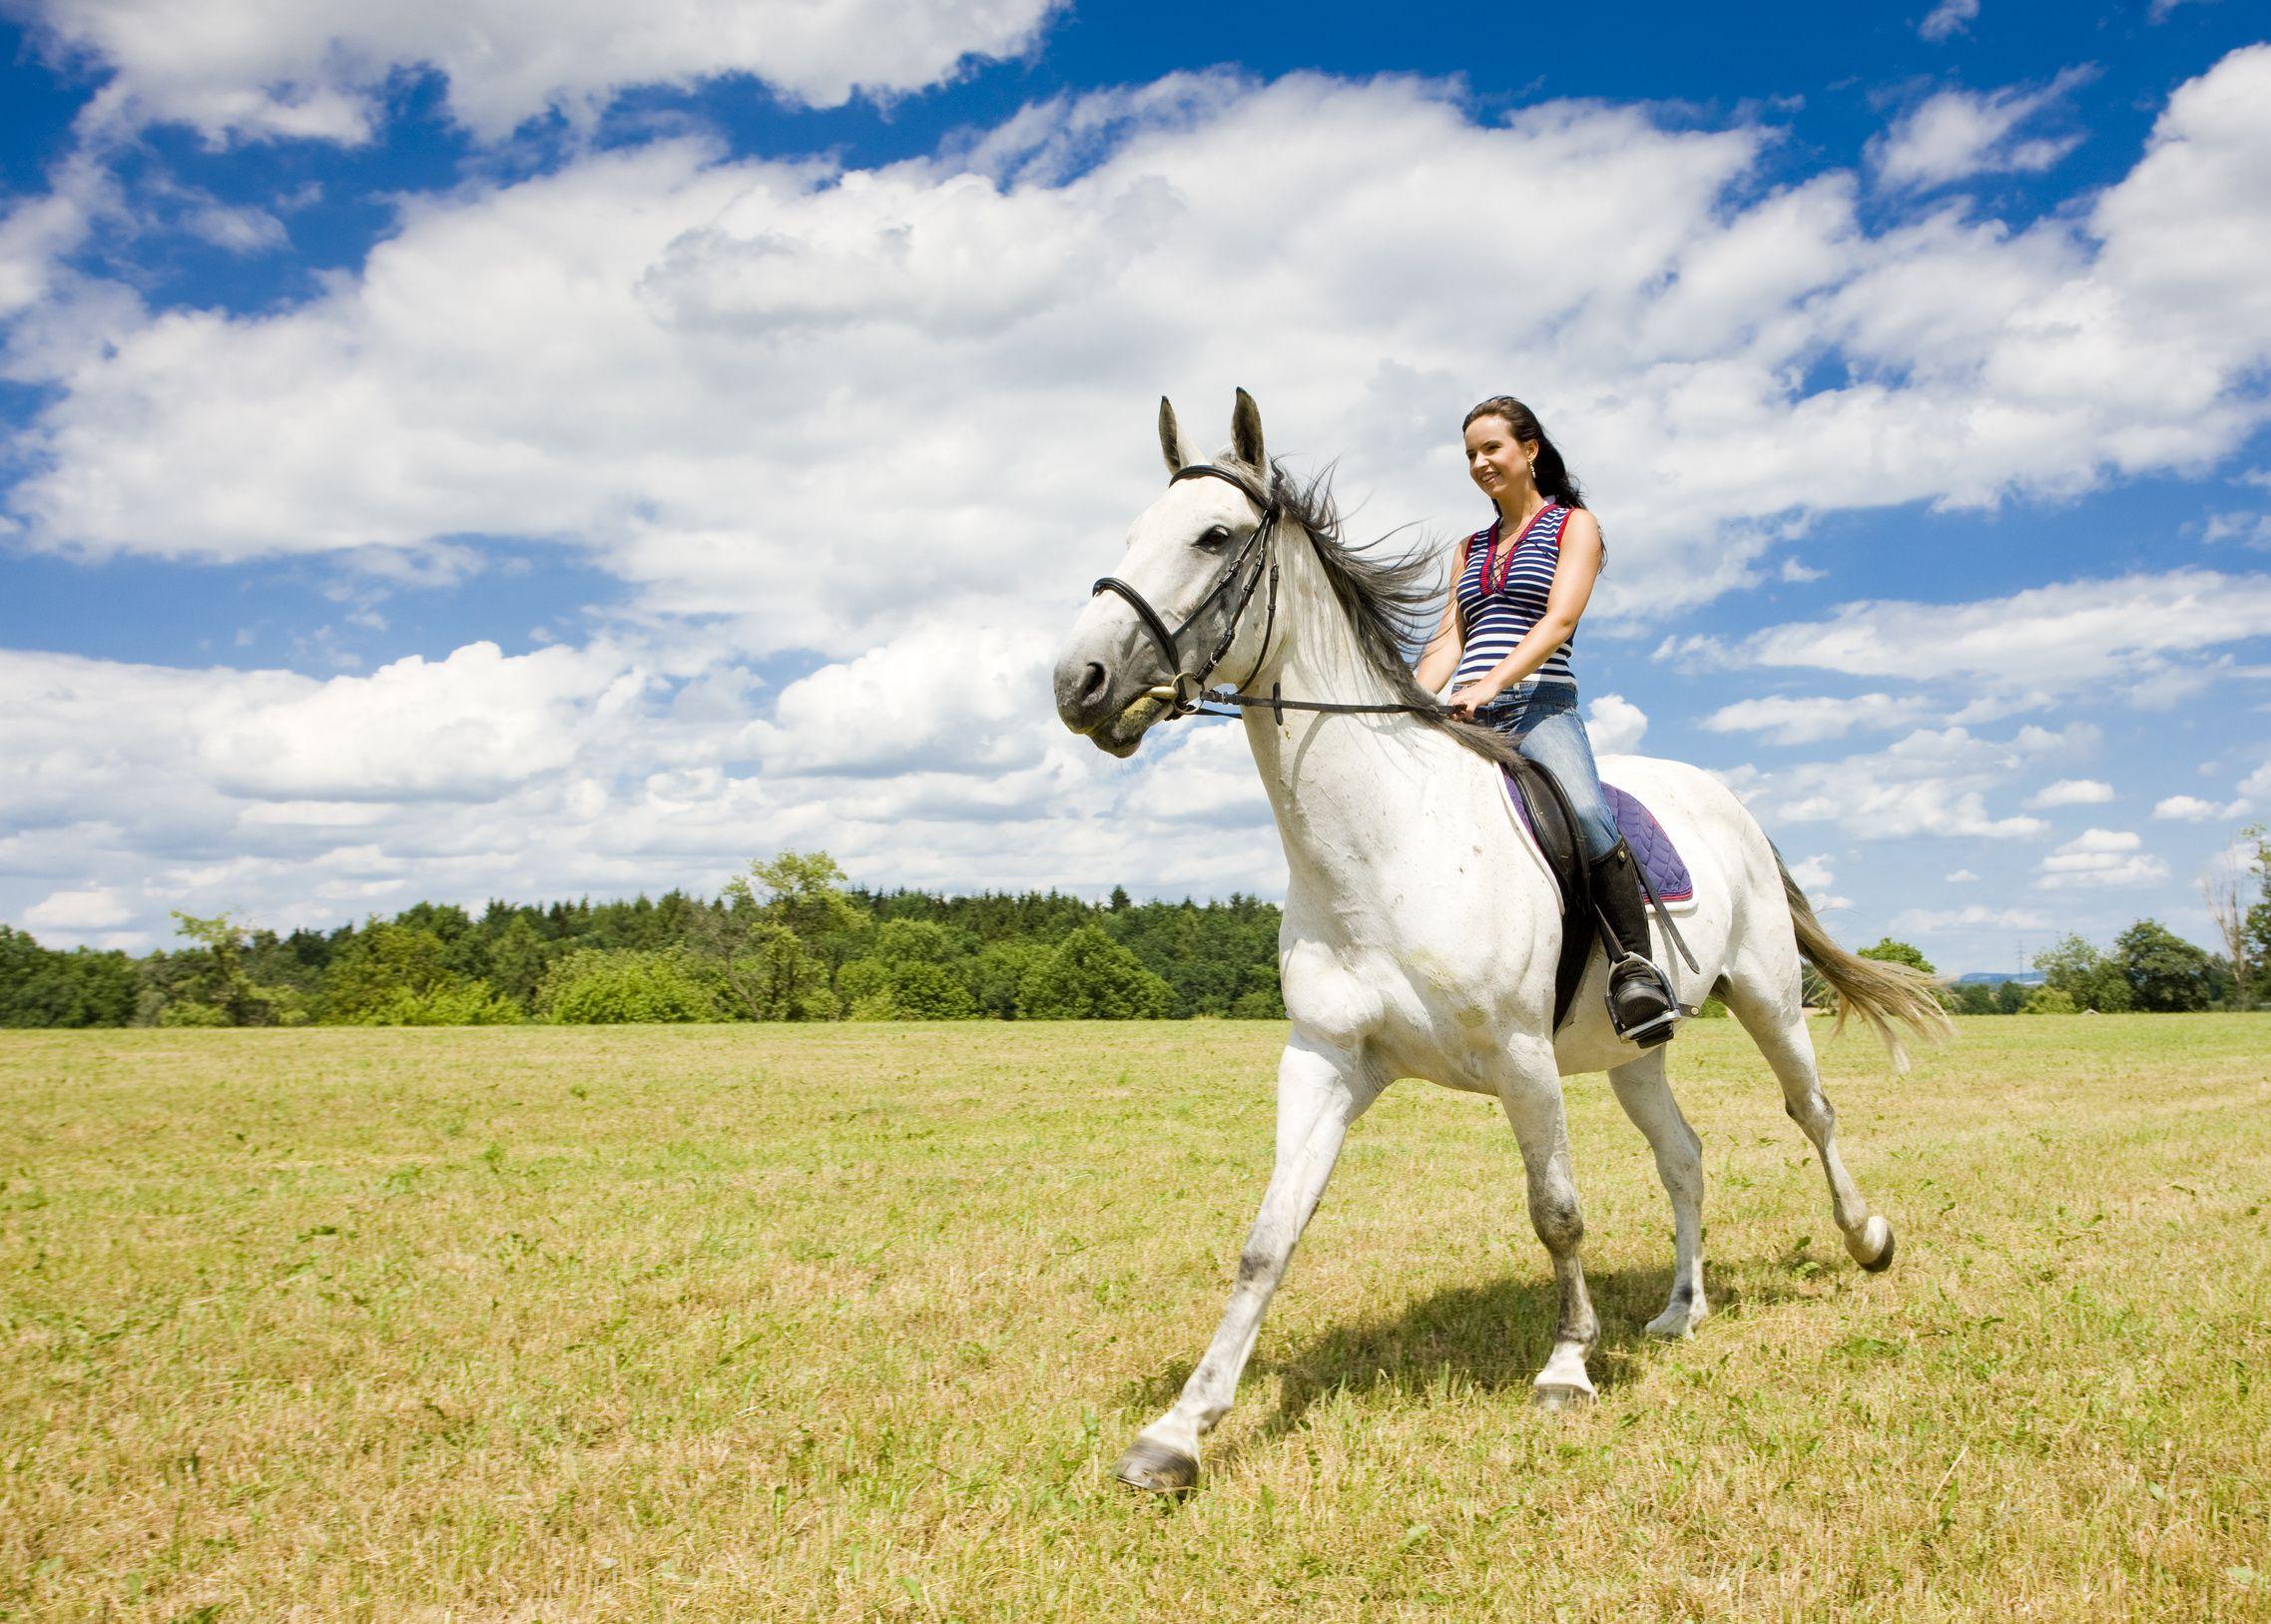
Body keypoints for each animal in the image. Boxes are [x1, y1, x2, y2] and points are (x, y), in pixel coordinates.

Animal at [1051, 389, 1951, 1493]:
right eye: (1132, 533)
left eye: (1212, 536)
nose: (1079, 683)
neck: (1382, 844)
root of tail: (1725, 799)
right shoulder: (1324, 1061)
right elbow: (1268, 1237)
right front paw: (1179, 1429)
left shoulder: (1523, 1059)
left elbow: (1555, 1211)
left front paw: (1566, 1366)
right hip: (1632, 1053)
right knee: (1684, 1156)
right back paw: (1679, 1310)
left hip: (1768, 1000)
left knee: (1810, 1111)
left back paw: (1866, 1238)